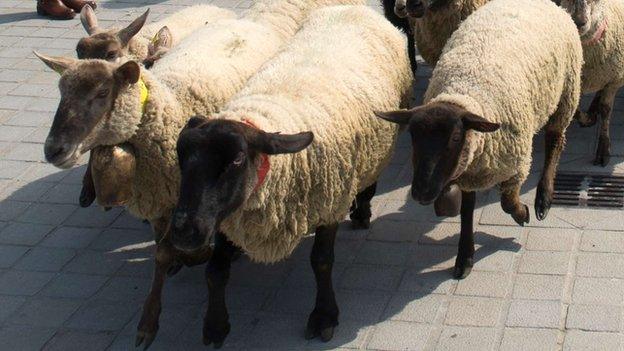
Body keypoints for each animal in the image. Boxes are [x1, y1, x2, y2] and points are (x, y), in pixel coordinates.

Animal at [34, 0, 364, 348]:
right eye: (61, 90)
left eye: (101, 93)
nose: (53, 149)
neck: (168, 105)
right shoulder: (165, 199)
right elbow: (163, 253)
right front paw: (151, 319)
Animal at [207, 4, 414, 264]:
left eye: (236, 160)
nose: (184, 233)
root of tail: (352, 8)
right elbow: (218, 264)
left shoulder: (331, 202)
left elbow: (322, 261)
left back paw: (362, 213)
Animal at [376, 0, 584, 280]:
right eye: (412, 136)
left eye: (455, 137)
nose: (420, 193)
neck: (466, 94)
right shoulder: (469, 170)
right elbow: (466, 212)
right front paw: (465, 257)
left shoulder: (516, 165)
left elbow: (507, 202)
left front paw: (522, 214)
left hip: (566, 91)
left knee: (555, 141)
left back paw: (543, 198)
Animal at [560, 0, 624, 166]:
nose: (579, 22)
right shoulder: (576, 85)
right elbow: (576, 112)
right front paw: (588, 119)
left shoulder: (614, 79)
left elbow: (606, 110)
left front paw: (603, 149)